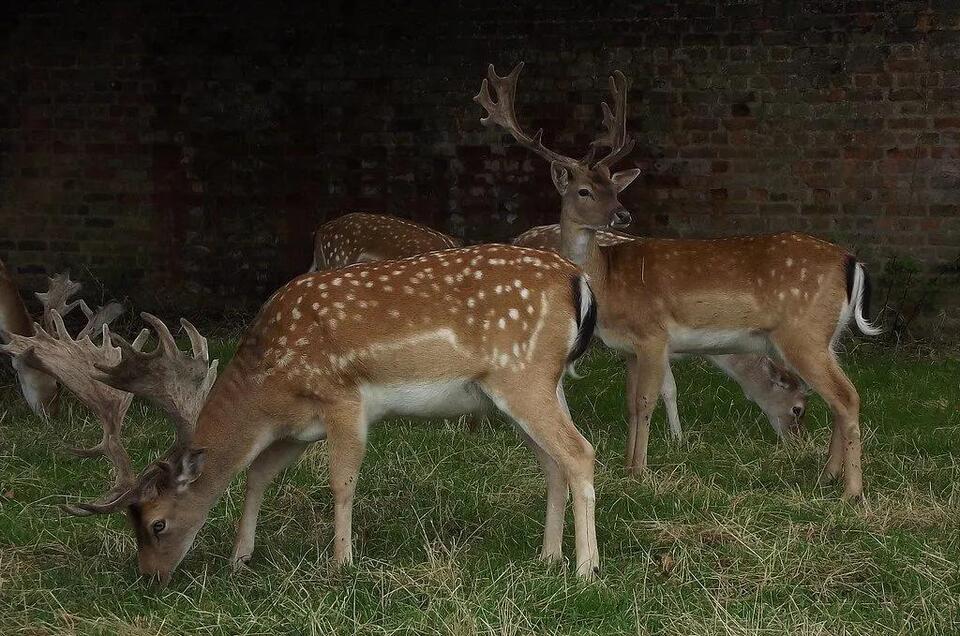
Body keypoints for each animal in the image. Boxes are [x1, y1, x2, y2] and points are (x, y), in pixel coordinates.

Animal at [2, 244, 602, 583]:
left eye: (156, 523)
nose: (149, 578)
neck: (272, 387)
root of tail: (579, 279)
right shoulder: (295, 428)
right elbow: (257, 473)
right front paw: (240, 557)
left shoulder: (342, 397)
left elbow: (341, 480)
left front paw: (341, 564)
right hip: (532, 385)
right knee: (553, 462)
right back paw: (548, 558)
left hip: (521, 375)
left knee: (580, 452)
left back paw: (586, 568)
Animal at [514, 224, 808, 440]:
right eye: (798, 409)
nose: (796, 441)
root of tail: (520, 236)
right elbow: (668, 388)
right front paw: (676, 437)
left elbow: (668, 388)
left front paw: (676, 437)